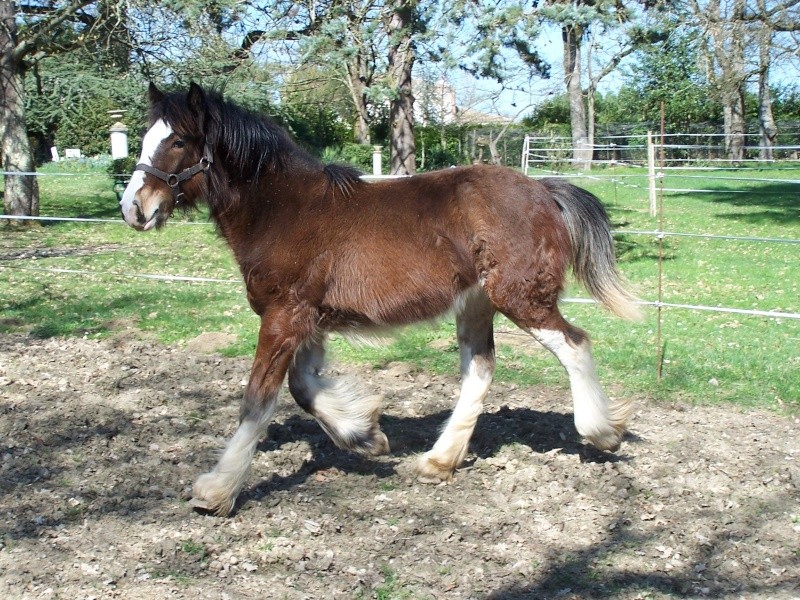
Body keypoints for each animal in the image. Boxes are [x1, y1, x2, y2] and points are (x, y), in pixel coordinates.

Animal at [119, 83, 640, 516]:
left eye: (178, 141)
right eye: (145, 137)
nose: (133, 209)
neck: (284, 209)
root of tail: (544, 189)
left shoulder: (284, 316)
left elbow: (258, 399)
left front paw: (217, 489)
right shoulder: (308, 321)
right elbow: (303, 389)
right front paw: (365, 436)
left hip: (520, 296)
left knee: (574, 344)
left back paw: (603, 432)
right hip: (476, 303)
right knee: (480, 368)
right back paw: (438, 461)